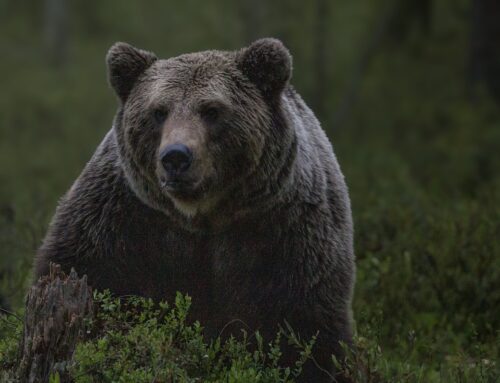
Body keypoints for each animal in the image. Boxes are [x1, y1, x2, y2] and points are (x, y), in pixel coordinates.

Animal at [35, 38, 356, 380]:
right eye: (158, 111)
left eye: (212, 110)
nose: (176, 157)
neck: (201, 216)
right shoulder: (120, 219)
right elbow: (85, 272)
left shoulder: (286, 232)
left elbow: (306, 327)